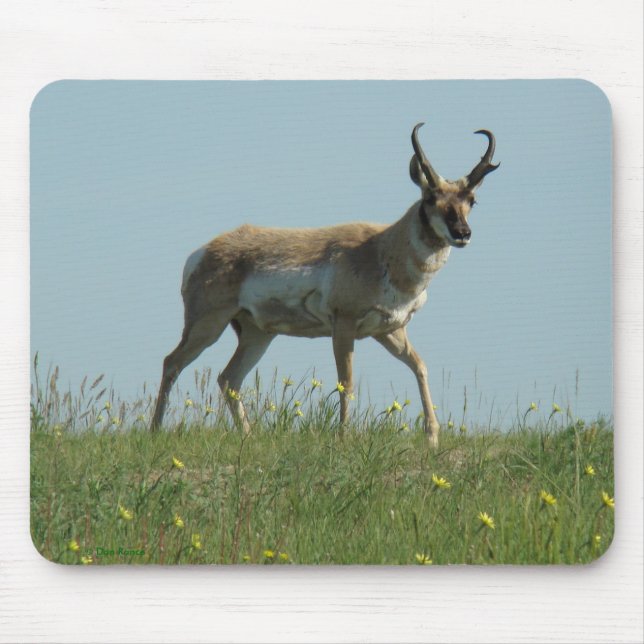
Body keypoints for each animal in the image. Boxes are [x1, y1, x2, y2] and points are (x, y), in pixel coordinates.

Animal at [150, 123, 499, 446]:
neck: (382, 248)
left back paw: (247, 436)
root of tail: (202, 252)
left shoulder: (389, 330)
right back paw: (155, 430)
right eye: (429, 198)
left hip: (257, 334)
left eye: (472, 200)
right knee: (173, 362)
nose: (462, 233)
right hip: (207, 324)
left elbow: (420, 367)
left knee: (228, 379)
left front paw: (432, 437)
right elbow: (347, 381)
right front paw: (344, 437)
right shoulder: (343, 326)